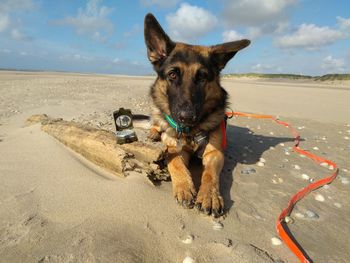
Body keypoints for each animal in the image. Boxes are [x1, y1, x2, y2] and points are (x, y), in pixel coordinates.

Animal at [144, 13, 250, 218]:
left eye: (202, 77)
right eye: (172, 75)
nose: (186, 117)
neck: (190, 132)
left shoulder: (214, 153)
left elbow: (210, 173)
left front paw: (209, 195)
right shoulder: (174, 149)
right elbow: (176, 163)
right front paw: (184, 186)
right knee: (156, 123)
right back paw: (153, 132)